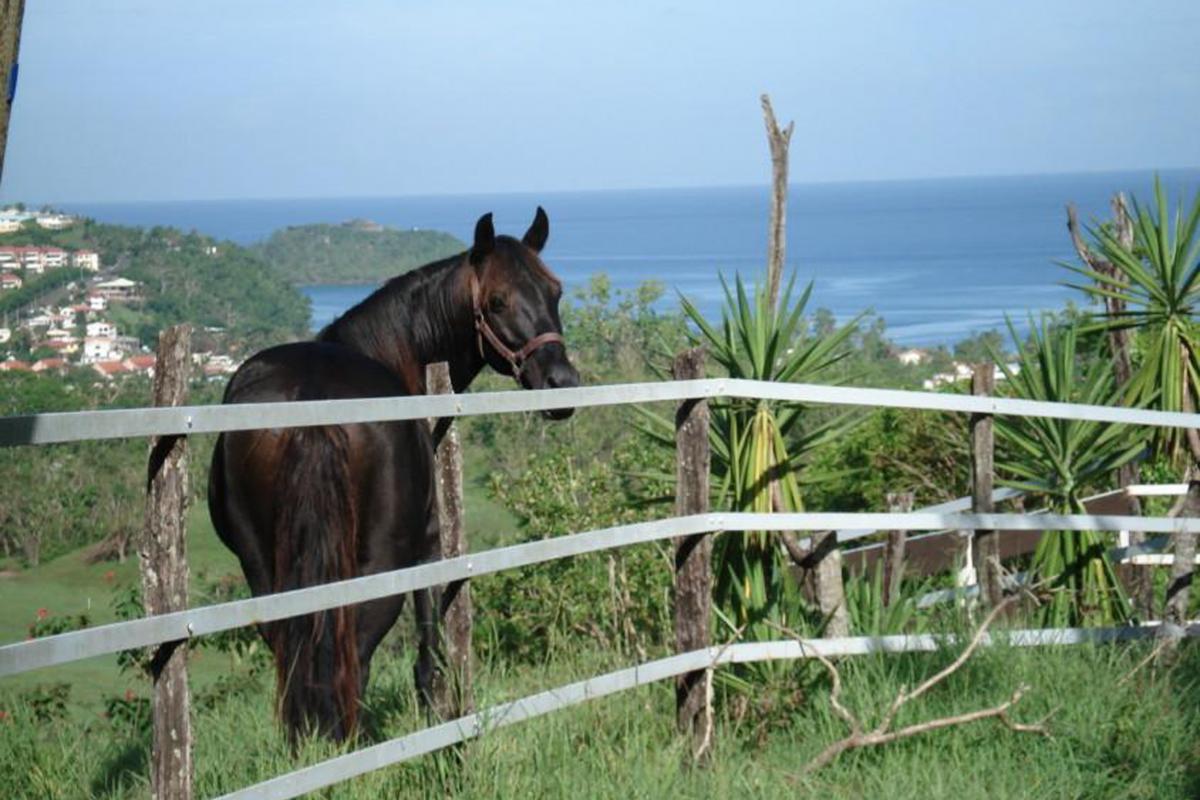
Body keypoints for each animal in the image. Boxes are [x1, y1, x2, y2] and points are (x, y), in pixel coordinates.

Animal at [208, 209, 578, 743]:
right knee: (355, 654)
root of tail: (312, 397)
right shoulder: (428, 546)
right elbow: (429, 658)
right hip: (381, 564)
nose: (561, 383)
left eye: (555, 291)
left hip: (262, 567)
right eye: (497, 300)